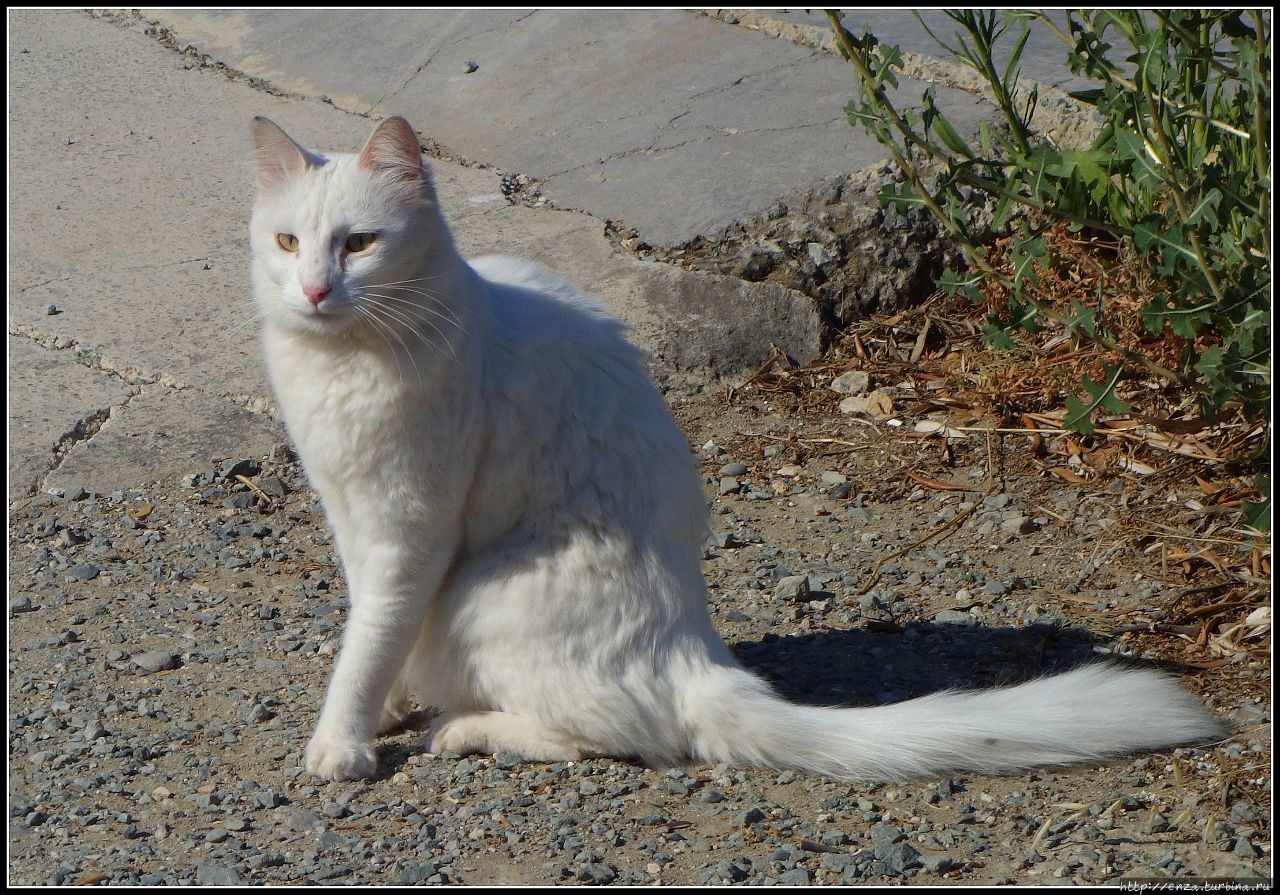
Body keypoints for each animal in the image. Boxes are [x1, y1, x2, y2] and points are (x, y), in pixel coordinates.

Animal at [247, 115, 1218, 778]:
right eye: (288, 241)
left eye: (360, 244)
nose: (315, 289)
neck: (340, 363)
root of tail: (693, 651)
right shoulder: (351, 516)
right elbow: (372, 629)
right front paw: (380, 707)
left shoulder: (408, 530)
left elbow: (369, 637)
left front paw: (342, 742)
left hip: (488, 599)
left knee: (627, 735)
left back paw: (464, 728)